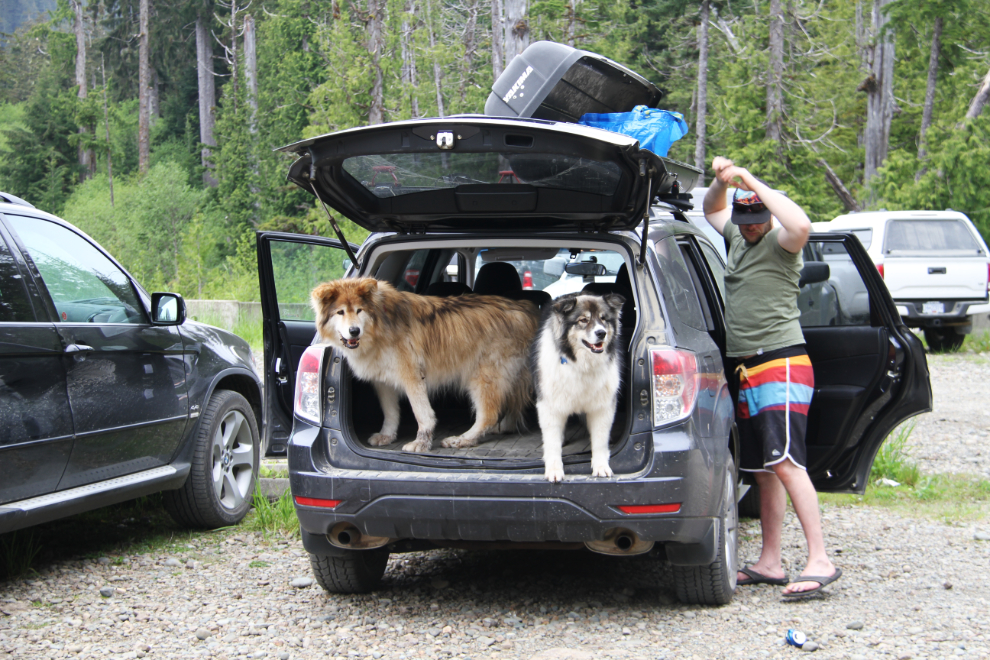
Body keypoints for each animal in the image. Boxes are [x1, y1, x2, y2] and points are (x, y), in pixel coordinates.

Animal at [312, 278, 540, 454]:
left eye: (359, 311)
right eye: (340, 312)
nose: (354, 331)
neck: (380, 324)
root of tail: (526, 310)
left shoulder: (412, 377)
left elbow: (423, 414)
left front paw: (421, 443)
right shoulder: (383, 383)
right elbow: (390, 413)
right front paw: (387, 435)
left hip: (481, 378)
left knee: (488, 415)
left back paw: (463, 439)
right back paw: (500, 428)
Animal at [536, 292, 628, 482]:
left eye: (603, 319)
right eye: (583, 320)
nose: (601, 333)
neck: (581, 363)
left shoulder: (602, 407)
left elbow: (600, 440)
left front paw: (601, 467)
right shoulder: (549, 405)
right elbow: (552, 442)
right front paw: (554, 470)